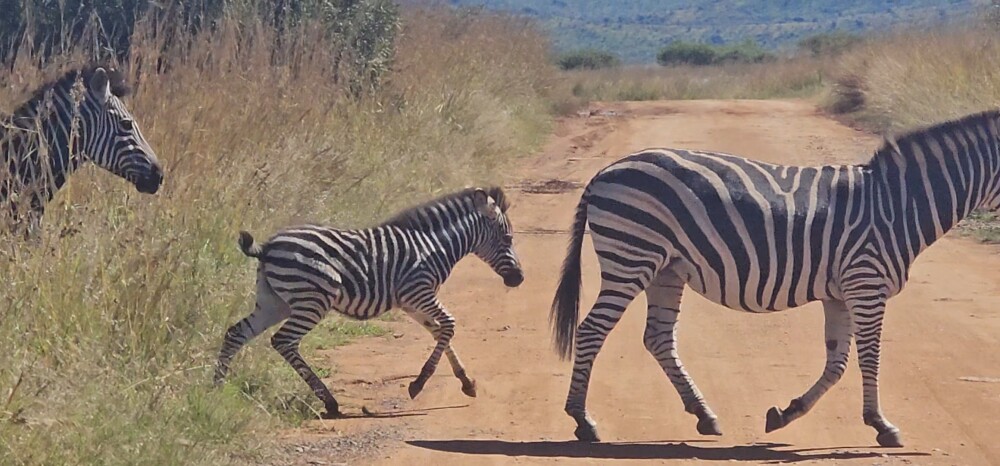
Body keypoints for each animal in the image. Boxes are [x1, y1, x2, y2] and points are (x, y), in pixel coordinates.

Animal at [214, 186, 524, 418]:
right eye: (508, 237)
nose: (519, 279)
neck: (433, 245)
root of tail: (267, 247)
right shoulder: (417, 291)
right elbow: (448, 325)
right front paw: (419, 384)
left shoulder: (411, 301)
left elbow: (439, 332)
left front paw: (466, 382)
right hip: (311, 300)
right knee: (283, 341)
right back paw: (330, 402)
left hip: (274, 302)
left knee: (236, 333)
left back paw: (215, 388)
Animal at [549, 109, 1000, 448]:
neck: (898, 204)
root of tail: (605, 172)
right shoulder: (866, 282)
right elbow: (869, 357)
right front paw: (882, 425)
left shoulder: (841, 293)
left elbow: (837, 362)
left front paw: (786, 413)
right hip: (631, 255)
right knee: (591, 331)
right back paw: (582, 420)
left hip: (666, 268)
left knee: (658, 338)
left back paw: (704, 415)